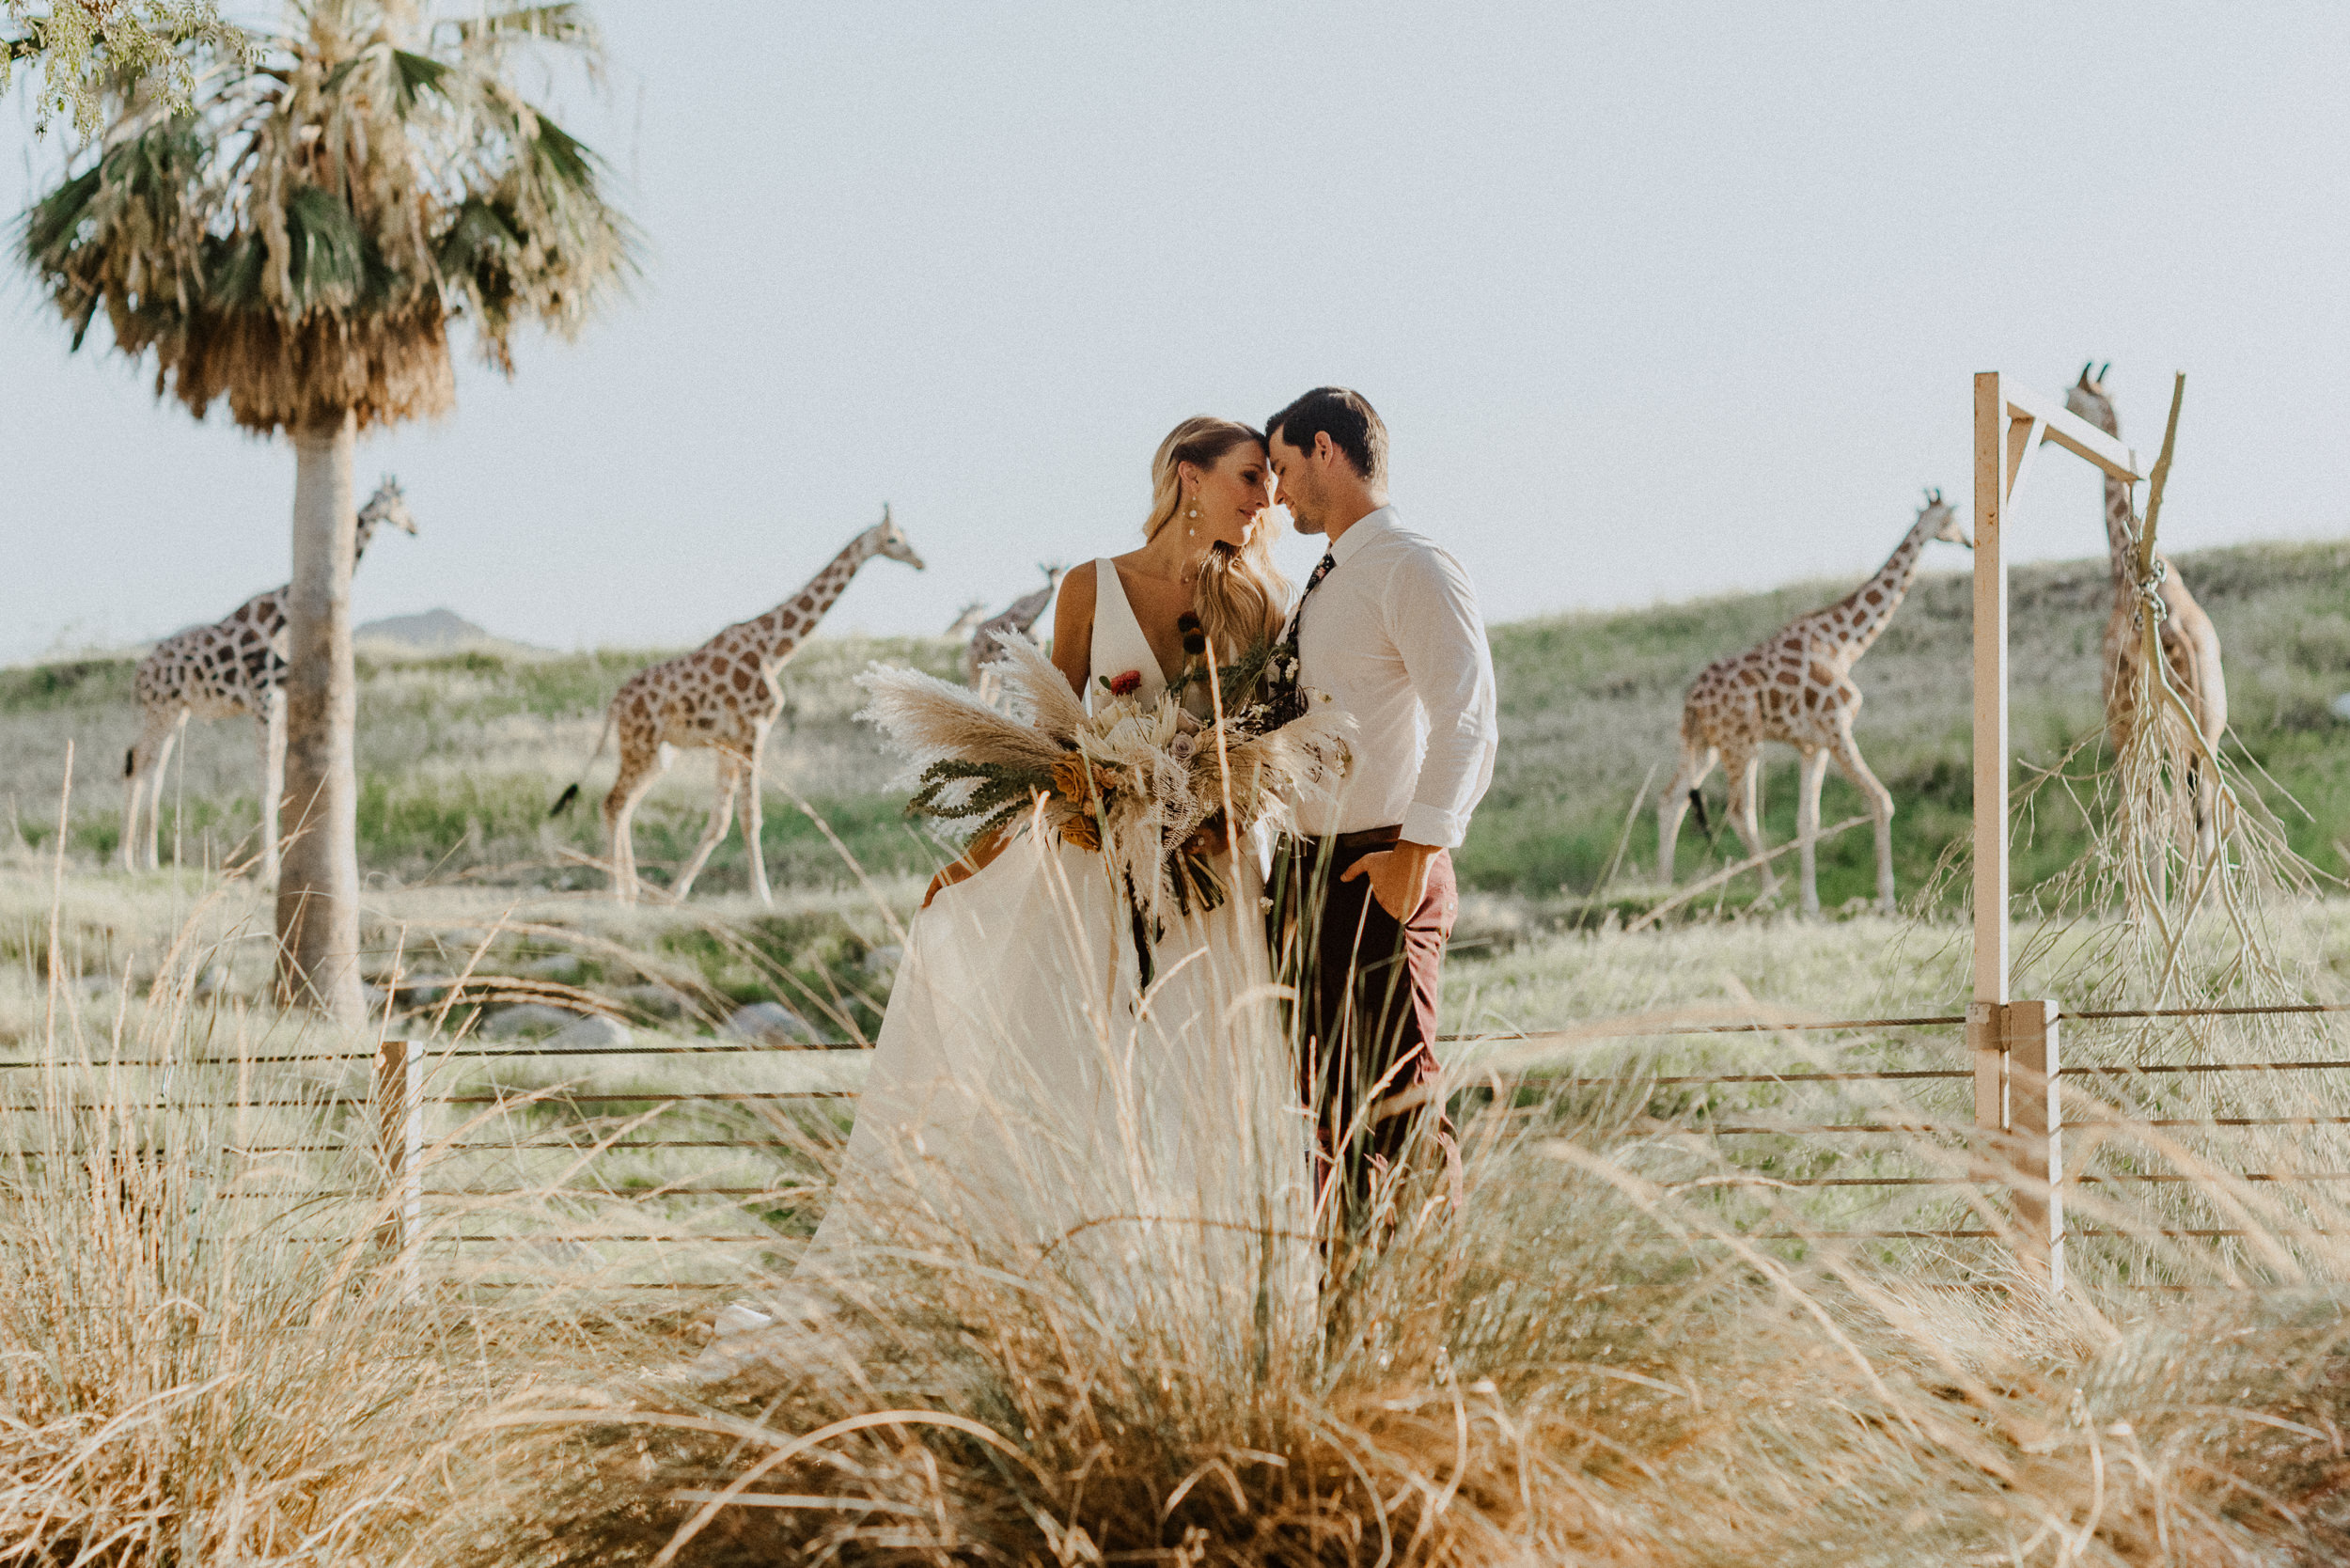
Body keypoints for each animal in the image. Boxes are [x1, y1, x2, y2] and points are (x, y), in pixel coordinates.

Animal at [118, 475, 418, 884]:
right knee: (137, 764)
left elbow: (277, 782)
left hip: (175, 712)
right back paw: (126, 860)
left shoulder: (280, 701)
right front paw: (268, 873)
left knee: (152, 770)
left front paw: (275, 866)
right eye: (397, 503)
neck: (285, 616)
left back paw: (148, 860)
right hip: (159, 710)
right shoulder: (264, 700)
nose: (414, 527)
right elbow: (267, 783)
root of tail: (139, 673)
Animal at [564, 512, 931, 907]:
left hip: (659, 753)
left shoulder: (729, 743)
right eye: (894, 540)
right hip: (640, 744)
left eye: (904, 537)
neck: (775, 649)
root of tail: (615, 703)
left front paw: (674, 893)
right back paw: (616, 893)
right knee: (614, 803)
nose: (920, 562)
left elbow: (720, 820)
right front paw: (763, 895)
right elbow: (750, 816)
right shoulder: (754, 729)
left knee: (624, 805)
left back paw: (628, 890)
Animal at [964, 557, 1067, 691]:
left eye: (1060, 573)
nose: (1054, 585)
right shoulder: (1005, 659)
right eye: (1047, 574)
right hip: (975, 664)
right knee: (976, 687)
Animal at [1664, 494, 1974, 921]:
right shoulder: (1837, 728)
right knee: (1740, 811)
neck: (1842, 643)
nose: (1969, 542)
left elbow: (1808, 820)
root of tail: (1691, 699)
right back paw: (1771, 894)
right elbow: (1882, 801)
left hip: (1703, 743)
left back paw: (1661, 890)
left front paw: (1811, 905)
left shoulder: (1814, 745)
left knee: (1672, 797)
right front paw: (1887, 901)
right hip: (1741, 743)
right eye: (1951, 519)